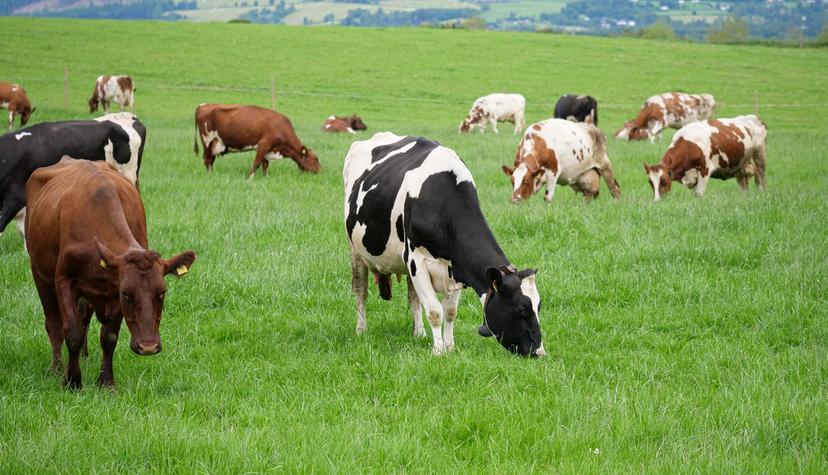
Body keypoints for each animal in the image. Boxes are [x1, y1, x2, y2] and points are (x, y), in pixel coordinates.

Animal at [25, 158, 196, 389]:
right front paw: (72, 380)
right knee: (54, 324)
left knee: (84, 318)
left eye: (162, 293)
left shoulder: (113, 292)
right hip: (40, 274)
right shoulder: (64, 280)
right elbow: (71, 332)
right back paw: (56, 368)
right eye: (127, 294)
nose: (148, 346)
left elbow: (109, 337)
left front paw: (106, 381)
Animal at [344, 132, 545, 357]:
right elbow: (434, 310)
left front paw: (449, 346)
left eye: (539, 306)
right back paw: (361, 329)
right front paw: (438, 350)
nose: (539, 351)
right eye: (522, 308)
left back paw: (419, 333)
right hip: (355, 250)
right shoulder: (416, 260)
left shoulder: (456, 267)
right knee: (360, 290)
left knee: (413, 298)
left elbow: (449, 311)